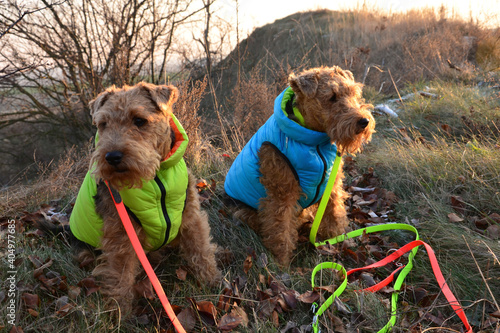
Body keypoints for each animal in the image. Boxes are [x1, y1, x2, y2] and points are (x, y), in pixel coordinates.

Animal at [65, 81, 222, 316]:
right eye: (103, 124)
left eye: (139, 120)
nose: (112, 157)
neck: (157, 178)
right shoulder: (121, 235)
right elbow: (121, 275)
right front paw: (120, 311)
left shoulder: (191, 215)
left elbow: (201, 249)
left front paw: (212, 280)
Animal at [225, 66, 374, 266]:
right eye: (332, 97)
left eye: (353, 93)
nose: (364, 121)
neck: (315, 143)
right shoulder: (282, 195)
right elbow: (281, 230)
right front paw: (282, 263)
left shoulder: (332, 186)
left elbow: (335, 215)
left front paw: (338, 241)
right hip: (245, 212)